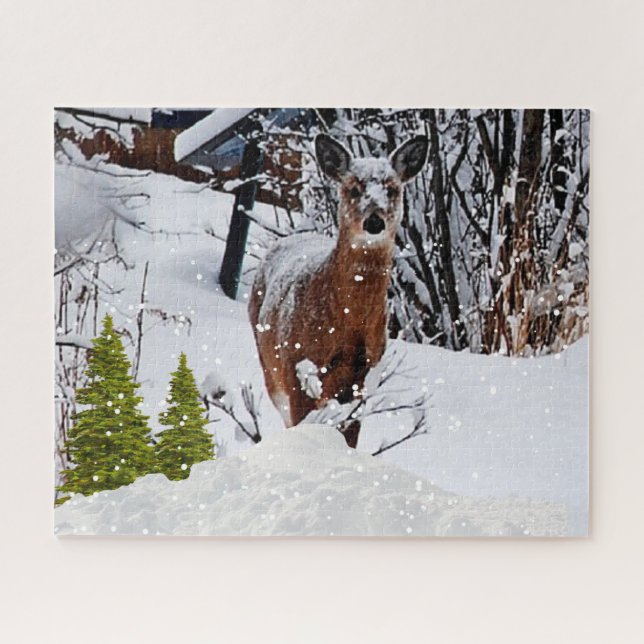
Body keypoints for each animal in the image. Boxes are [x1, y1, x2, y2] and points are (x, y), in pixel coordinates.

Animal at [248, 132, 429, 448]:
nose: (374, 221)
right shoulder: (297, 368)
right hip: (271, 369)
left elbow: (349, 438)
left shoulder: (363, 377)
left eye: (392, 189)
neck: (348, 324)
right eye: (353, 189)